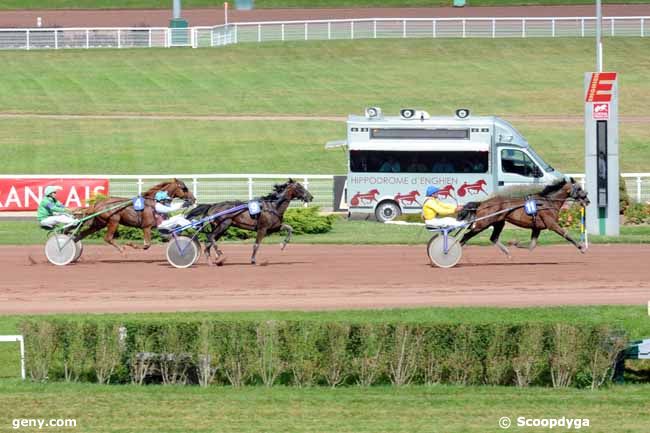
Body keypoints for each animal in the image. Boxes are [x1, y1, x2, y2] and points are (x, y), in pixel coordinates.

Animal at [456, 178, 588, 258]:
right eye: (579, 188)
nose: (587, 200)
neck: (548, 202)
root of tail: (482, 203)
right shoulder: (552, 224)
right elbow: (566, 234)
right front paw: (582, 248)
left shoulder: (537, 227)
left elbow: (532, 246)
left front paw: (515, 243)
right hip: (483, 223)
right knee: (466, 236)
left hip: (499, 222)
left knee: (493, 238)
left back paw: (508, 253)